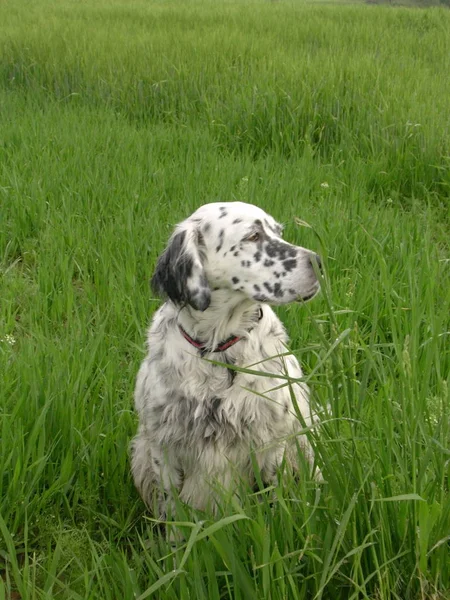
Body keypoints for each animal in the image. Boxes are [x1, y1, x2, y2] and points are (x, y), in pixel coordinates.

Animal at [132, 200, 322, 516]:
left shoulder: (273, 442)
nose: (318, 262)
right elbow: (172, 510)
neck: (217, 348)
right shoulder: (163, 445)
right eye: (253, 236)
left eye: (278, 232)